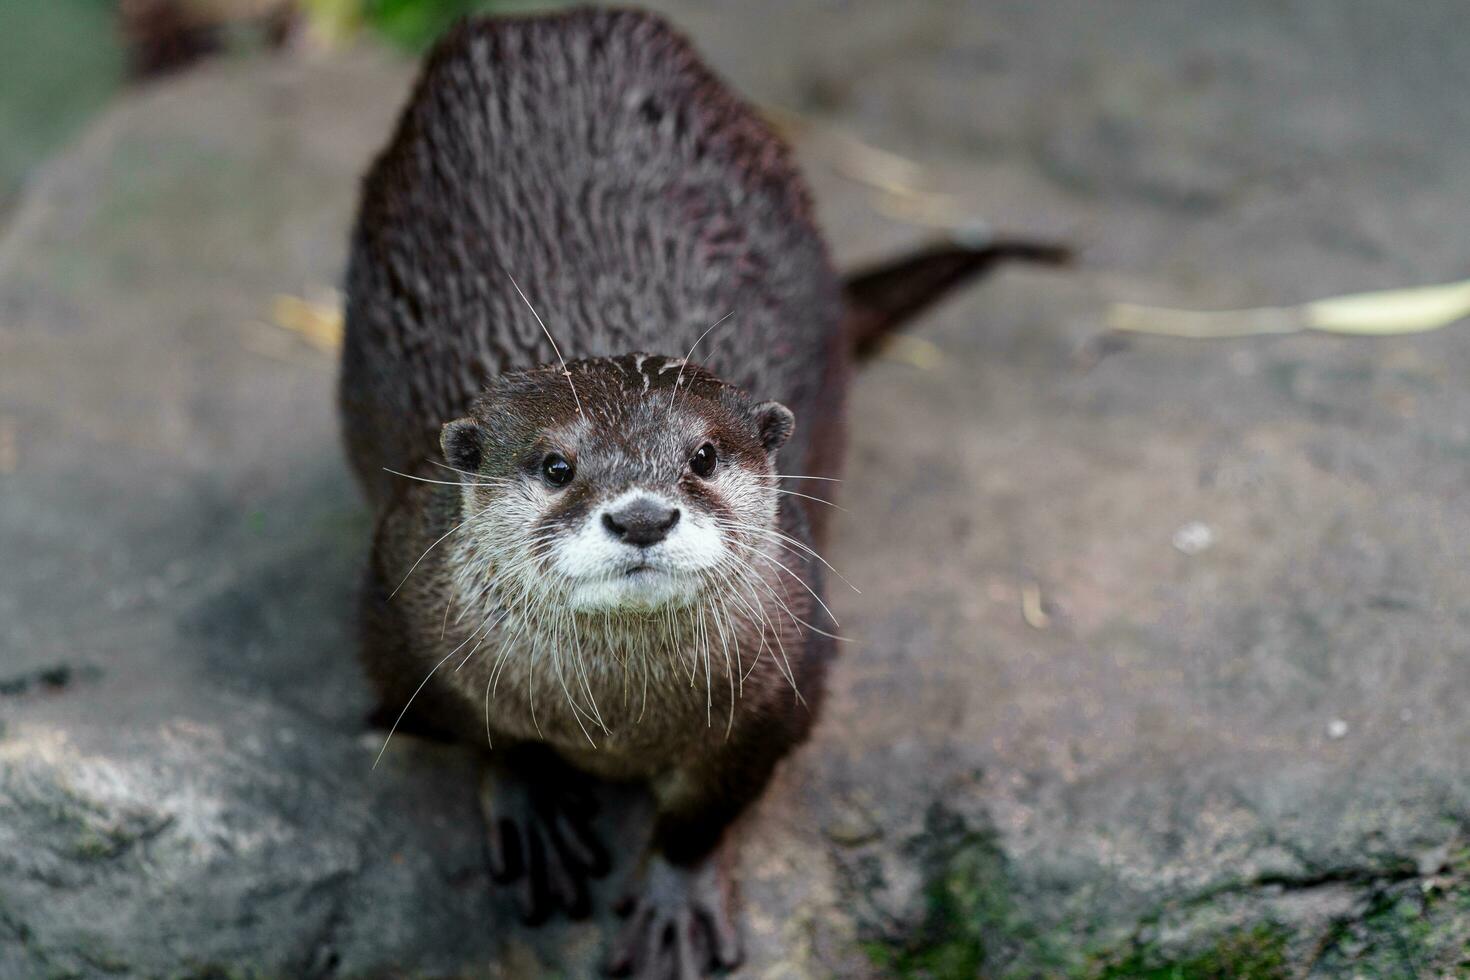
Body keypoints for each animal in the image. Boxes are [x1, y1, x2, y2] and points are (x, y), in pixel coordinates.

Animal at [336, 9, 1070, 980]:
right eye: (557, 465)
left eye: (705, 456)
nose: (642, 515)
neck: (620, 721)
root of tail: (543, 19)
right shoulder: (396, 609)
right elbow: (476, 731)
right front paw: (532, 802)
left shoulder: (788, 673)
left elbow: (709, 805)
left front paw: (676, 900)